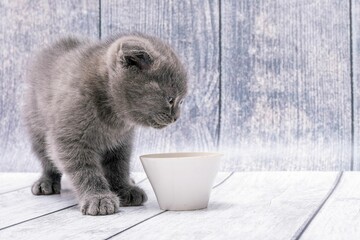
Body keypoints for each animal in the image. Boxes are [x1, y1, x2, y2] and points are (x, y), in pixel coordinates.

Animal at [21, 32, 188, 216]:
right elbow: (85, 171)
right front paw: (98, 198)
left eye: (181, 101)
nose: (176, 118)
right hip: (36, 125)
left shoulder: (121, 143)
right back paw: (46, 181)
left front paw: (124, 188)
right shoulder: (70, 140)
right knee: (46, 158)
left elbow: (118, 166)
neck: (112, 118)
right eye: (171, 99)